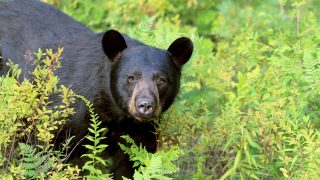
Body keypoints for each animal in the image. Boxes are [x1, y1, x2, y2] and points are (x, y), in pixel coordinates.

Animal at [0, 0, 192, 178]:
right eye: (131, 77)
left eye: (162, 80)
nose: (145, 105)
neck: (113, 111)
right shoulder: (59, 116)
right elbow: (43, 152)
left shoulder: (140, 133)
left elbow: (132, 165)